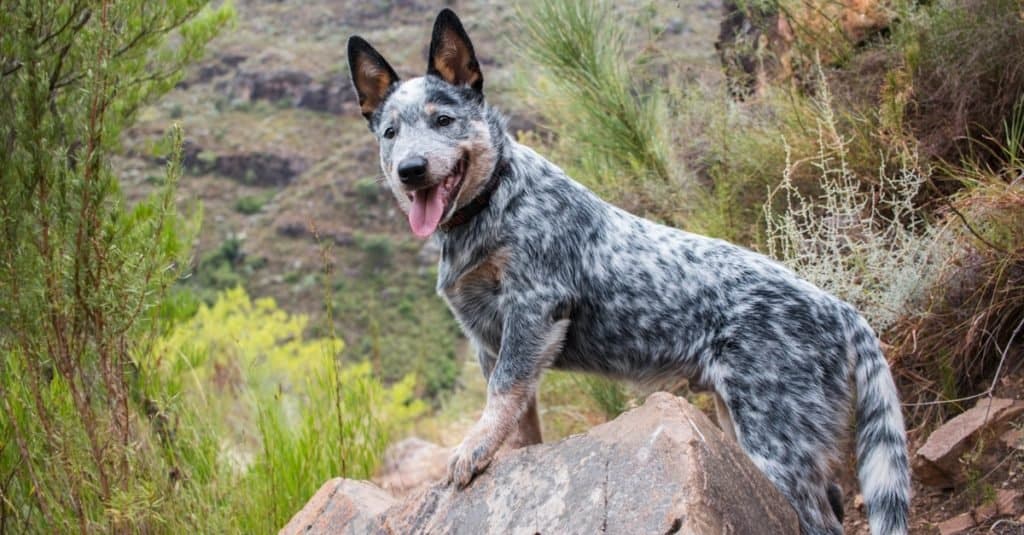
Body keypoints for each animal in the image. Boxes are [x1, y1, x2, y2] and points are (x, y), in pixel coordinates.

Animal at [348, 9, 909, 532]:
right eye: (391, 132)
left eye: (443, 120)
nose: (410, 170)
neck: (494, 203)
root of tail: (841, 309)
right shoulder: (488, 338)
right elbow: (518, 419)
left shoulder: (534, 309)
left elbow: (501, 395)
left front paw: (472, 449)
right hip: (741, 425)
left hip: (778, 443)